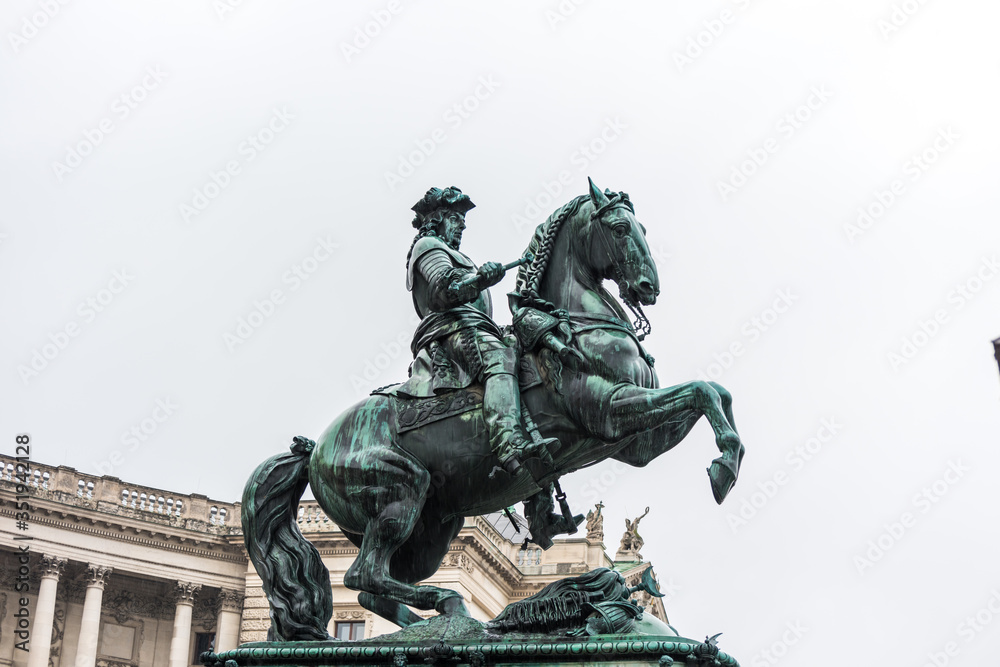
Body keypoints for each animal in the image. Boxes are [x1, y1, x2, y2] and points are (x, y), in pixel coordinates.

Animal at [240, 179, 744, 640]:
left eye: (641, 227)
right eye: (620, 228)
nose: (648, 287)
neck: (575, 325)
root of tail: (315, 446)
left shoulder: (635, 441)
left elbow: (714, 391)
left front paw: (727, 459)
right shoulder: (612, 411)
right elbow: (702, 391)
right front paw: (725, 465)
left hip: (432, 529)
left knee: (371, 585)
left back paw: (442, 621)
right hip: (402, 491)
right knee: (363, 573)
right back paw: (451, 608)